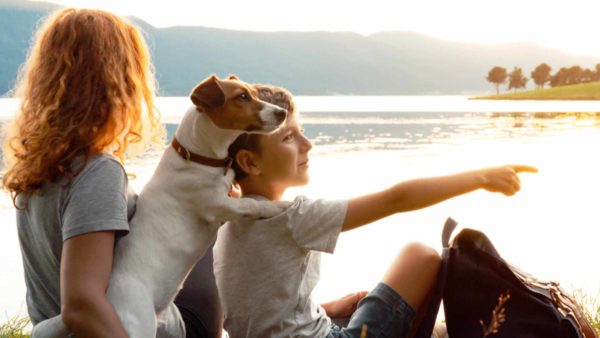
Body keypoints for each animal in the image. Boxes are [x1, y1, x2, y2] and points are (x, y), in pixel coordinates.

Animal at [32, 75, 290, 336]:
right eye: (242, 97)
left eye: (252, 94)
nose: (283, 112)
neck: (198, 157)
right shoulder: (217, 205)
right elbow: (250, 205)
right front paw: (278, 206)